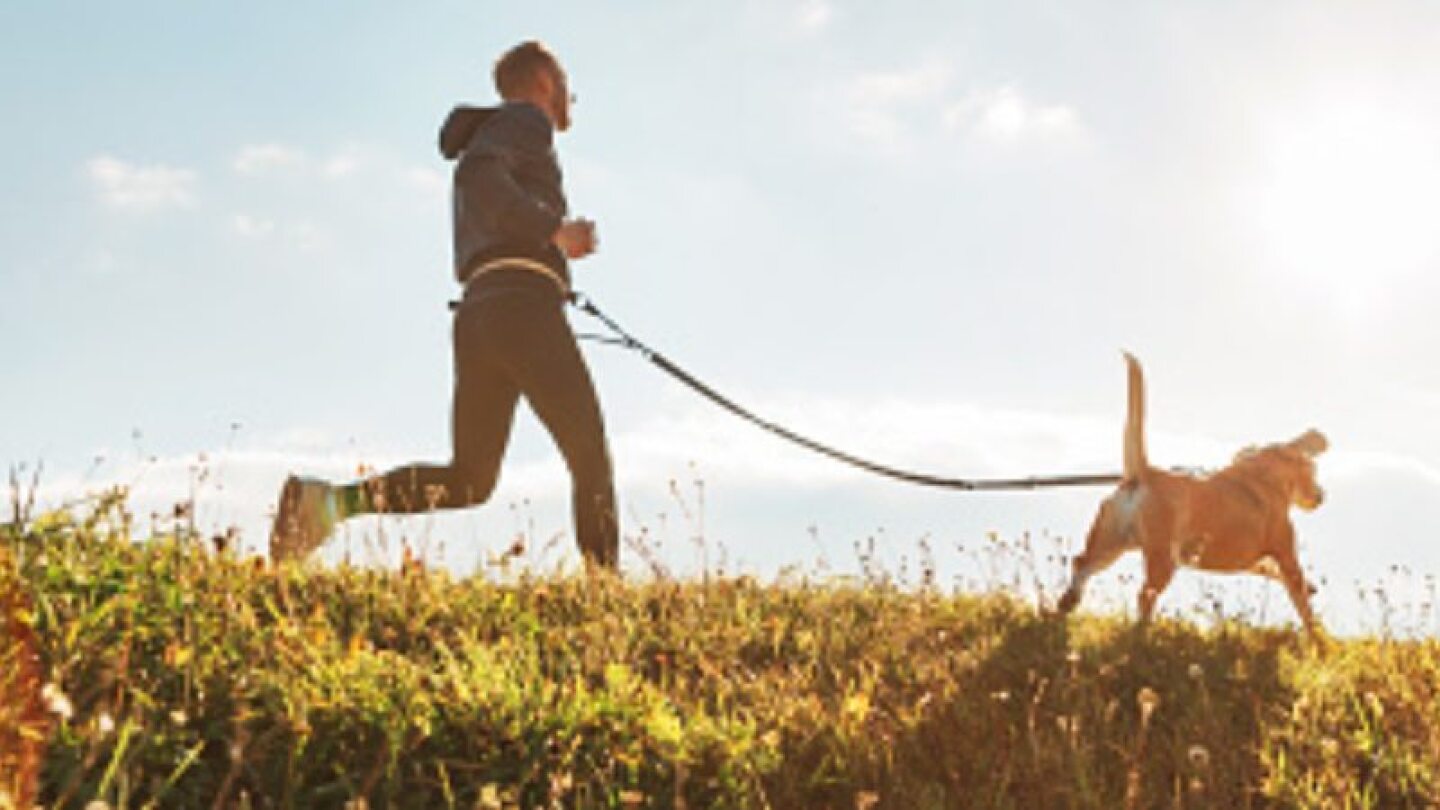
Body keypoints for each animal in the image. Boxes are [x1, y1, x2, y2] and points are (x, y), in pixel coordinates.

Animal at [1059, 351, 1324, 631]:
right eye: (1313, 469)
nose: (1321, 496)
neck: (1263, 476)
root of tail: (1143, 472)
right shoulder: (1285, 555)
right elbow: (1302, 604)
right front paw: (1318, 636)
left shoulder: (1252, 560)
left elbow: (1271, 571)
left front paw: (1310, 589)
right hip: (1162, 559)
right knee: (1145, 594)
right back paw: (1141, 631)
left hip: (1110, 543)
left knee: (1081, 563)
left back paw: (1066, 605)